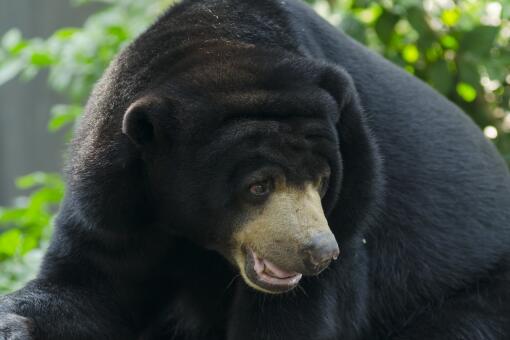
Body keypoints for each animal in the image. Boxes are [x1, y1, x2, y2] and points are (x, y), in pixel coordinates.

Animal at [0, 0, 510, 338]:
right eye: (258, 185)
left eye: (323, 180)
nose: (318, 252)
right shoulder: (113, 197)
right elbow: (89, 284)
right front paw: (14, 323)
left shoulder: (352, 207)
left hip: (472, 295)